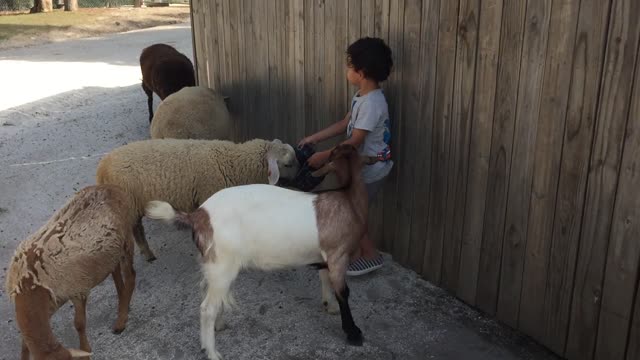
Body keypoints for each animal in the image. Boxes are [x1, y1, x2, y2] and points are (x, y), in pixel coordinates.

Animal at [5, 186, 139, 360]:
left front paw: (86, 350)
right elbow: (24, 342)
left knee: (131, 276)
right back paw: (123, 302)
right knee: (115, 270)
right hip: (111, 249)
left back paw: (121, 320)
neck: (30, 284)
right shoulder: (52, 303)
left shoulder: (78, 289)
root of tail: (109, 188)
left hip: (126, 239)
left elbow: (79, 324)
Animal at [95, 138, 300, 262]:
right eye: (288, 164)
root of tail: (102, 167)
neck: (232, 163)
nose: (302, 178)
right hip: (129, 204)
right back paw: (146, 255)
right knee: (136, 231)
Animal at [146, 145, 372, 358]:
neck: (348, 202)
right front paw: (353, 333)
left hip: (212, 263)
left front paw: (329, 305)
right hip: (222, 264)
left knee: (208, 291)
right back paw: (212, 352)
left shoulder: (326, 255)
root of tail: (198, 216)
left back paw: (218, 326)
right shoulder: (338, 255)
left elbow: (324, 277)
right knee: (207, 308)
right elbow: (343, 292)